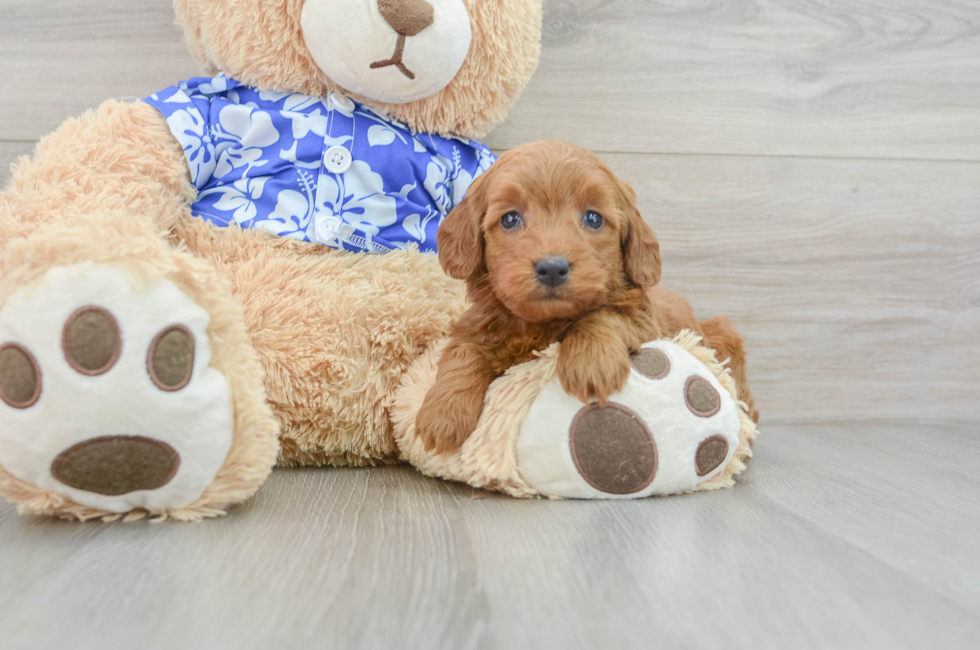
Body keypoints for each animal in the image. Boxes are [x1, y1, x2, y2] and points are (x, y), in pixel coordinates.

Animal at [414, 139, 756, 454]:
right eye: (510, 219)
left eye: (593, 218)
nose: (552, 268)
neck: (541, 324)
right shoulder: (475, 327)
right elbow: (462, 352)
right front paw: (443, 413)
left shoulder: (643, 318)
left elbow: (603, 314)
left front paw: (591, 363)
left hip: (716, 336)